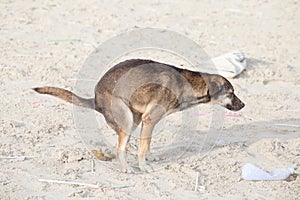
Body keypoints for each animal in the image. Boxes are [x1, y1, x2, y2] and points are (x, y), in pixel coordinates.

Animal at [33, 58, 244, 173]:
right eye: (231, 93)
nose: (243, 104)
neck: (189, 85)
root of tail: (95, 99)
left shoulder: (148, 121)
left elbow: (146, 144)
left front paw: (149, 157)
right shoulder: (149, 120)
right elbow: (142, 148)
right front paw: (144, 166)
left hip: (133, 119)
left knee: (124, 143)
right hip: (127, 119)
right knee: (120, 148)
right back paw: (126, 166)